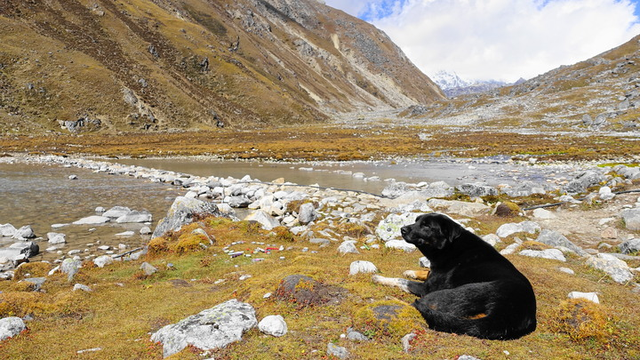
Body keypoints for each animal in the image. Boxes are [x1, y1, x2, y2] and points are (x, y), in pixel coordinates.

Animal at [372, 212, 536, 338]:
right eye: (416, 220)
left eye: (426, 226)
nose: (402, 229)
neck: (448, 246)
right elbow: (425, 271)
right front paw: (411, 272)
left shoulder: (427, 288)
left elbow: (401, 281)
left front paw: (381, 278)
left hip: (457, 292)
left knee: (418, 305)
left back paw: (391, 299)